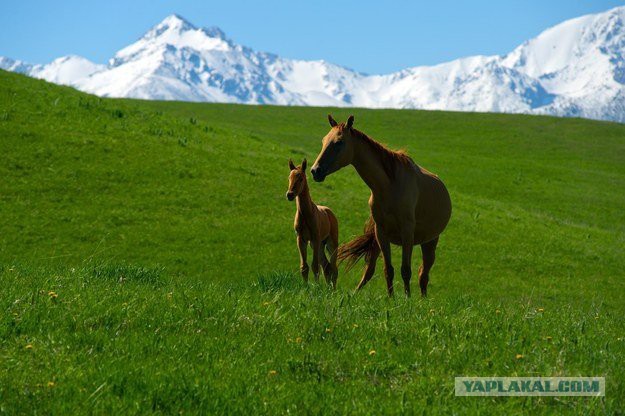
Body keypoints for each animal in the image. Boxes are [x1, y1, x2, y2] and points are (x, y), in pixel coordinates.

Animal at [286, 158, 338, 288]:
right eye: (289, 177)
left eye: (301, 178)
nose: (290, 194)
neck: (306, 214)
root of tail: (330, 212)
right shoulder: (301, 239)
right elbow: (304, 267)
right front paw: (306, 287)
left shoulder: (315, 238)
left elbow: (315, 266)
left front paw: (317, 287)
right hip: (320, 245)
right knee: (326, 266)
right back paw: (328, 289)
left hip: (331, 243)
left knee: (334, 268)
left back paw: (333, 290)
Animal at [310, 114, 448, 296]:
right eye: (324, 141)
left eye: (339, 142)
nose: (315, 171)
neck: (390, 185)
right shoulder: (381, 233)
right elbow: (387, 270)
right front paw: (391, 299)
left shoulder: (407, 232)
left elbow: (406, 270)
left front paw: (407, 298)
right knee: (371, 270)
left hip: (430, 241)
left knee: (423, 274)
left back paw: (423, 300)